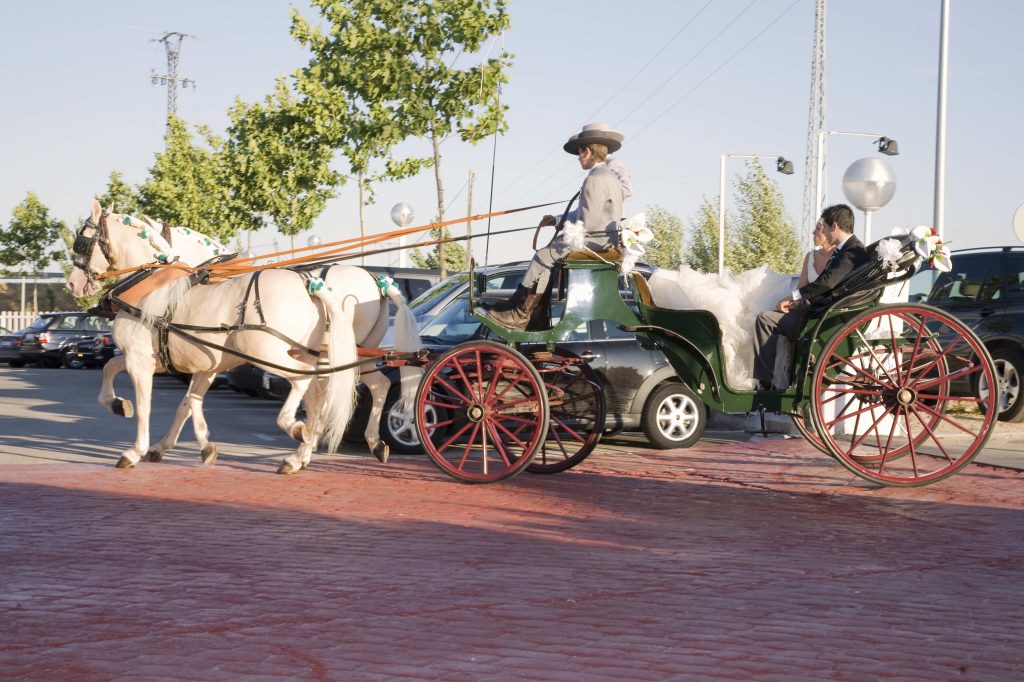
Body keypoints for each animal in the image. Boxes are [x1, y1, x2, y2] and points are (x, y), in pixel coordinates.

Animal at [69, 199, 419, 471]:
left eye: (82, 242)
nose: (72, 283)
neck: (153, 288)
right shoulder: (195, 364)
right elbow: (177, 398)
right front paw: (132, 415)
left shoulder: (142, 359)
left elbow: (146, 406)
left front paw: (136, 449)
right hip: (352, 354)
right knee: (369, 385)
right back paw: (332, 449)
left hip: (277, 354)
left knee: (305, 382)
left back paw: (296, 433)